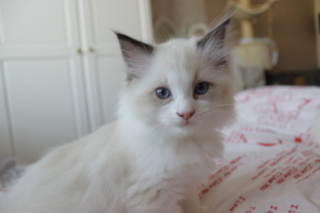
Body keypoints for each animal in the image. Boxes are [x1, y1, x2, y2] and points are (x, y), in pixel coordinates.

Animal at [0, 17, 235, 213]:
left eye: (201, 89)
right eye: (162, 93)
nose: (185, 113)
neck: (182, 142)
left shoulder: (185, 186)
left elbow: (194, 206)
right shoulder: (153, 198)